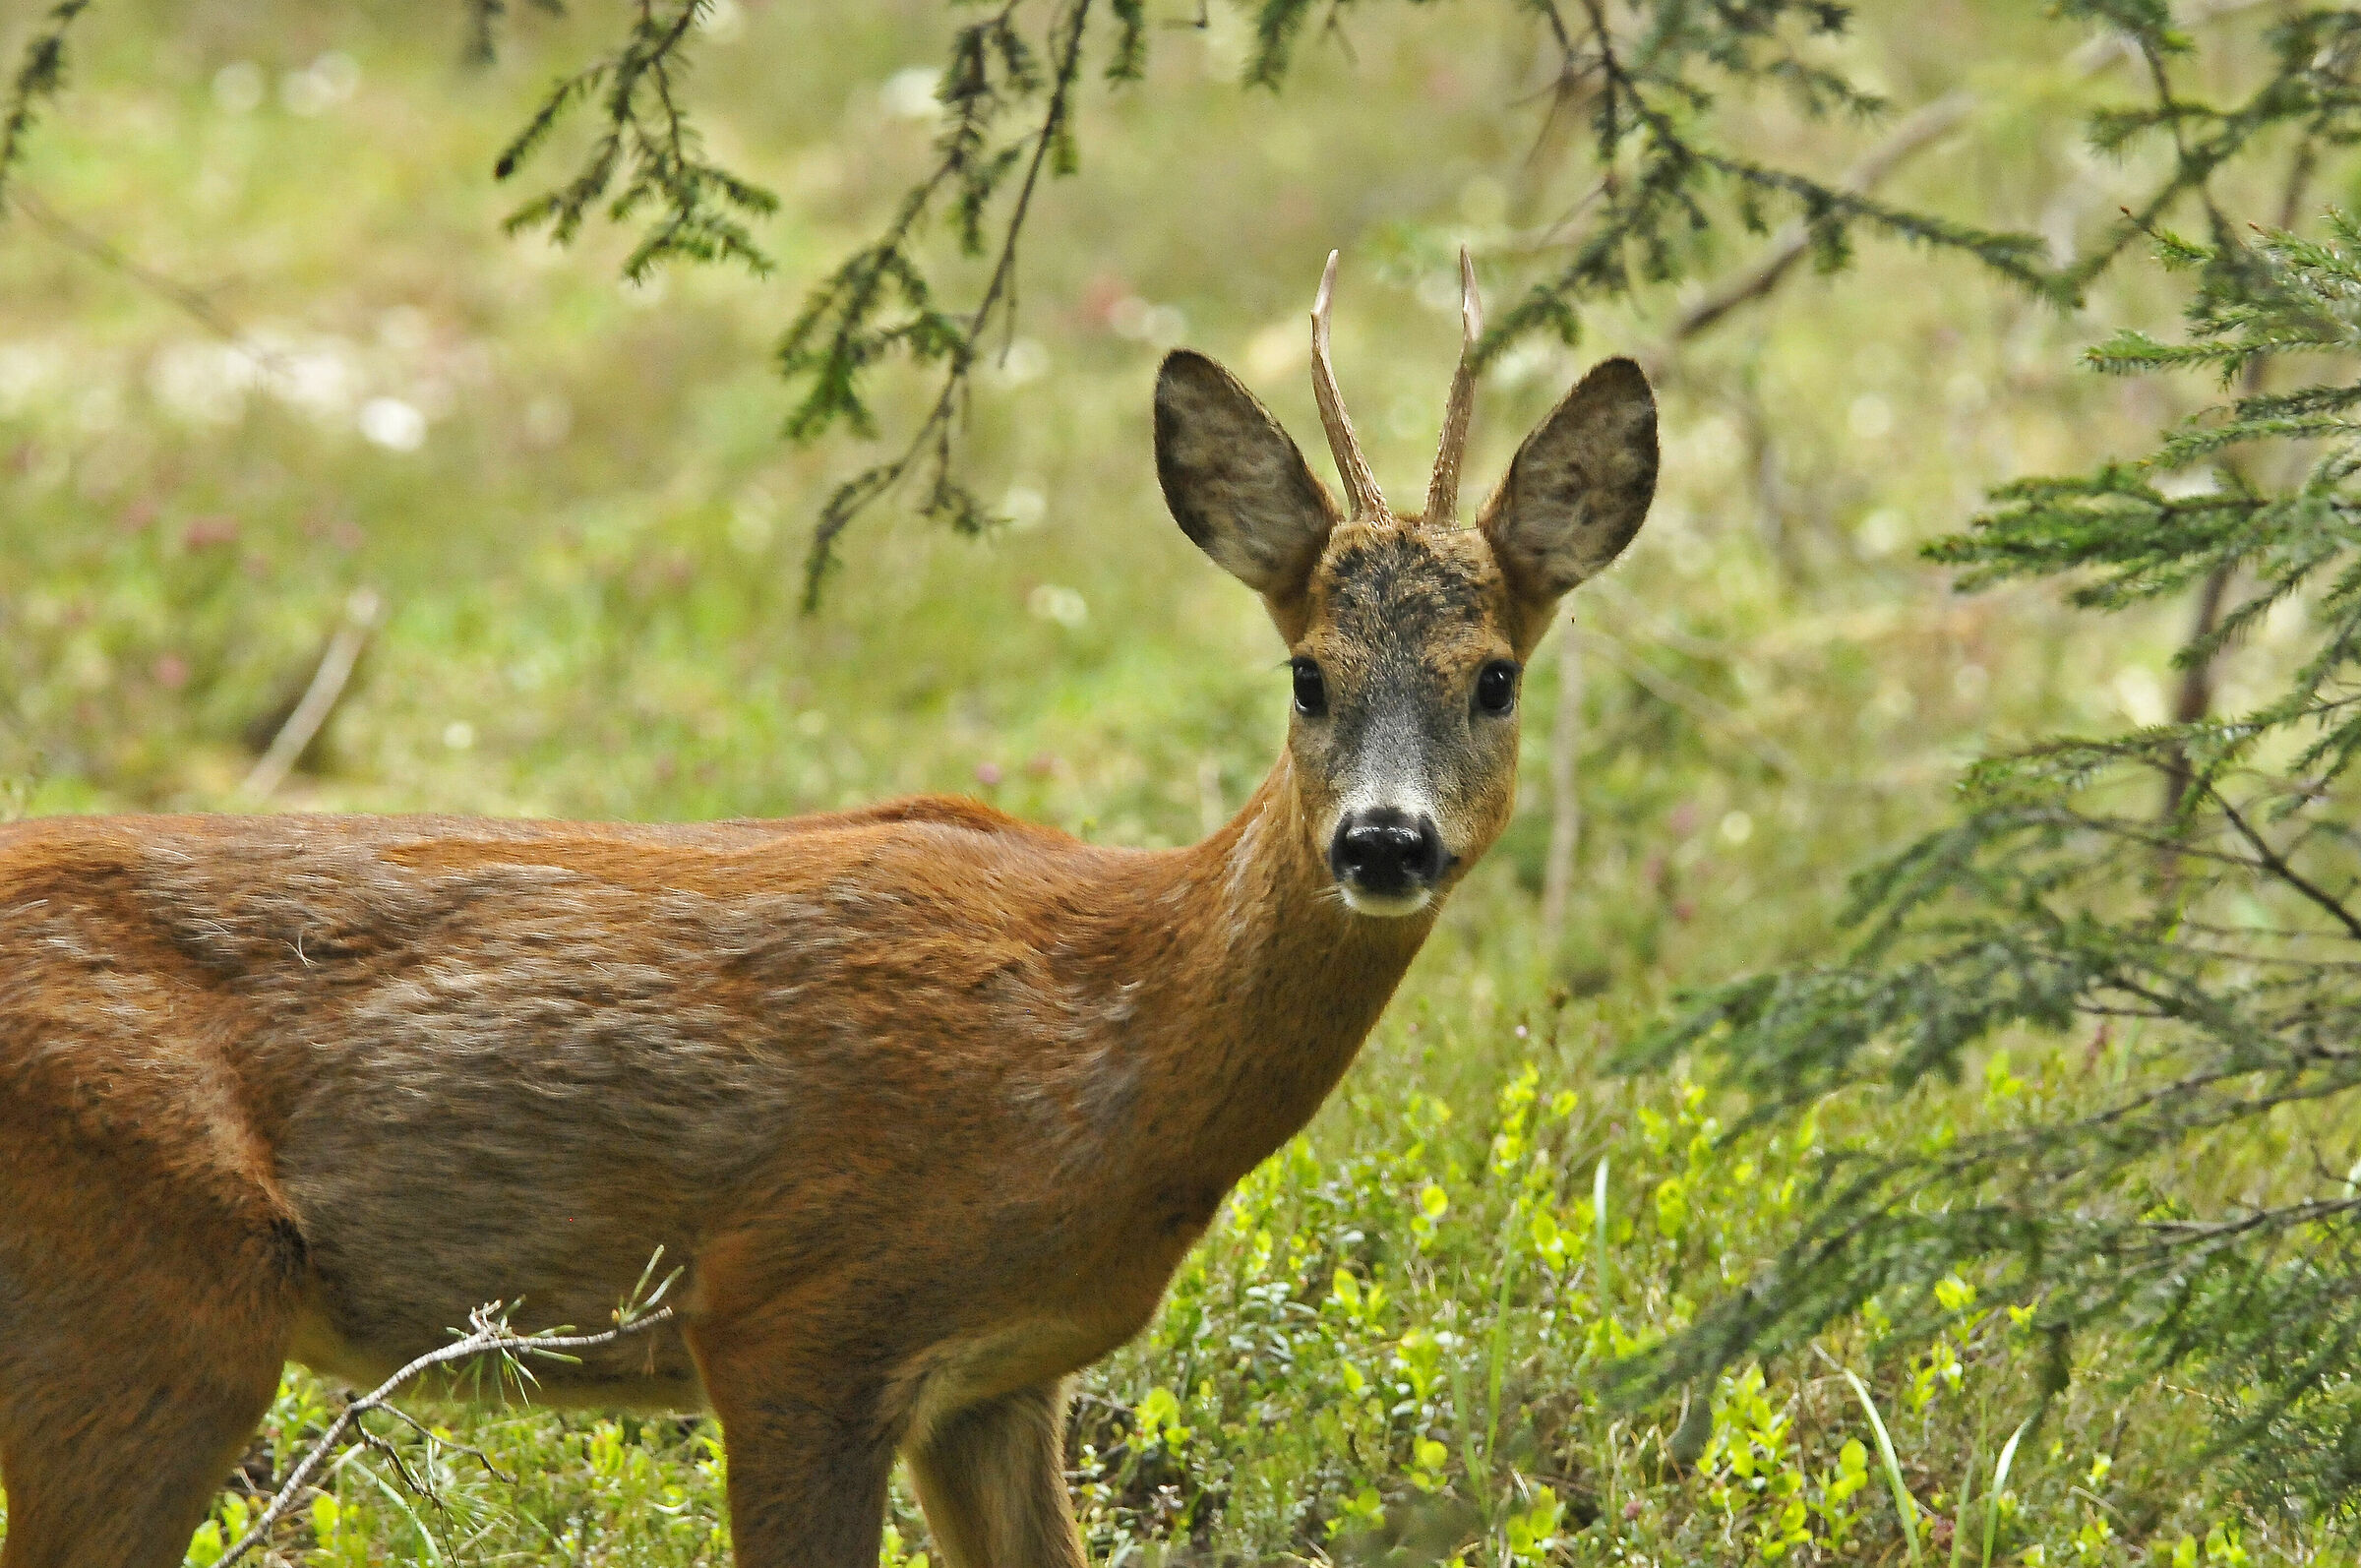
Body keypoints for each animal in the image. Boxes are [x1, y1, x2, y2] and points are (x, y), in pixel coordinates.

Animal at [0, 250, 1655, 1568]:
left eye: (1494, 677)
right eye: (1307, 673)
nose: (1383, 838)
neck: (1114, 1053)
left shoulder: (998, 1379)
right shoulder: (799, 1308)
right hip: (159, 1289)